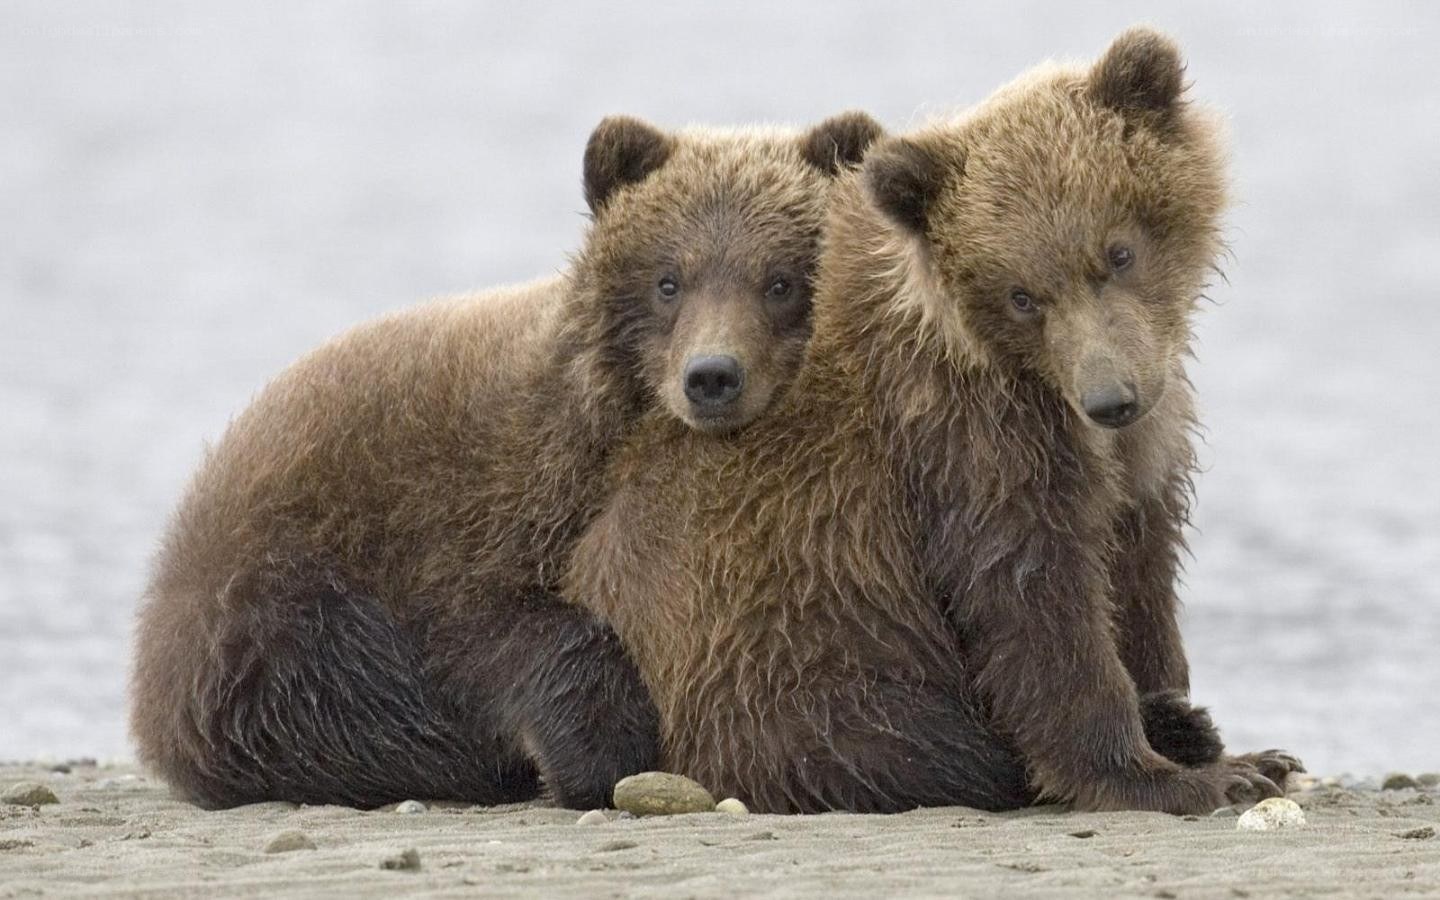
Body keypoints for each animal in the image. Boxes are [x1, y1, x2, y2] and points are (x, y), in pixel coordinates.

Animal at [129, 110, 886, 810]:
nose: (712, 376)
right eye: (669, 280)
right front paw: (598, 754)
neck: (604, 431)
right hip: (266, 608)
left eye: (781, 280)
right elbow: (496, 633)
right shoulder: (471, 508)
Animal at [563, 28, 1302, 815]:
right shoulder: (968, 439)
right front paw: (1178, 774)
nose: (1111, 397)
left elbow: (1140, 574)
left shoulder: (1142, 449)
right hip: (782, 656)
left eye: (1118, 251)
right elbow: (1036, 603)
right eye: (1021, 295)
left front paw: (1212, 730)